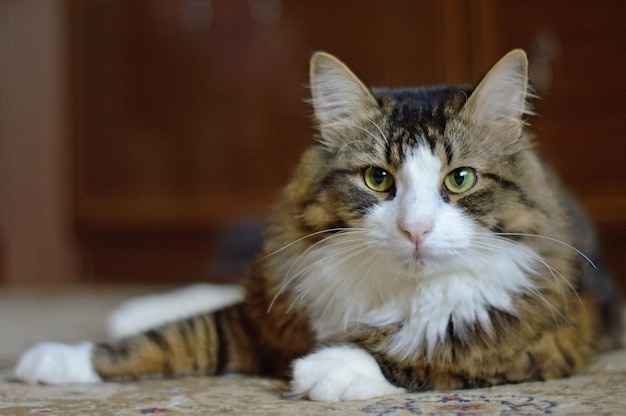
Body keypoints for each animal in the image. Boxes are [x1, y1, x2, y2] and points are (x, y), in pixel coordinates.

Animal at [13, 49, 620, 404]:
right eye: (378, 179)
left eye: (461, 179)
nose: (416, 229)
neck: (394, 291)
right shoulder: (258, 321)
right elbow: (169, 338)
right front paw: (57, 359)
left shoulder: (541, 342)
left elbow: (430, 359)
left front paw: (329, 368)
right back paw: (134, 308)